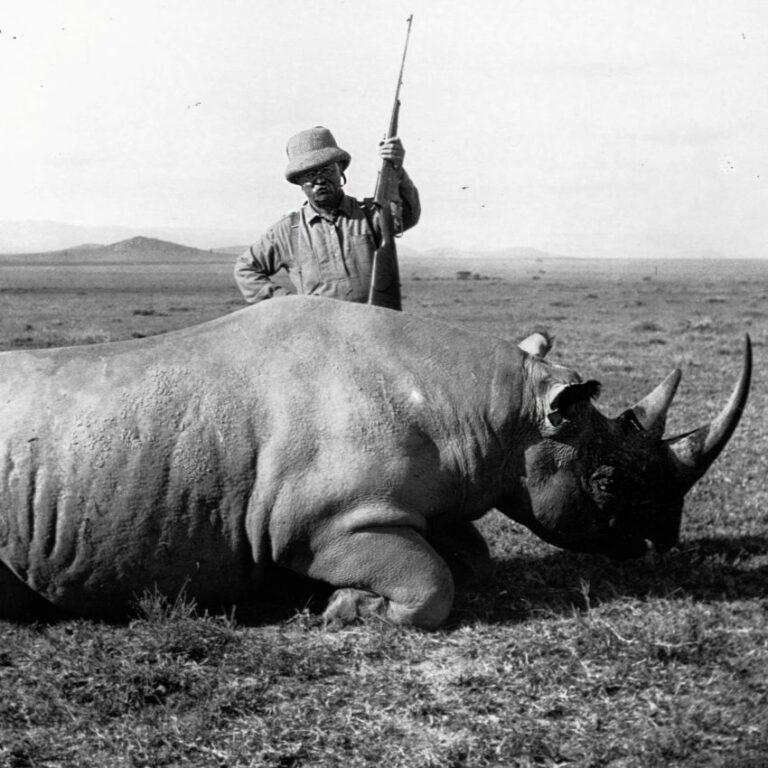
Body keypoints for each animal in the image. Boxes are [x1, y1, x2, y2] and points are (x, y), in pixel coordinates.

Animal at [0, 297, 751, 628]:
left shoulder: (423, 501)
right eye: (608, 480)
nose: (662, 542)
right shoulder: (326, 523)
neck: (501, 412)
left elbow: (470, 558)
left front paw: (334, 601)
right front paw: (342, 609)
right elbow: (434, 583)